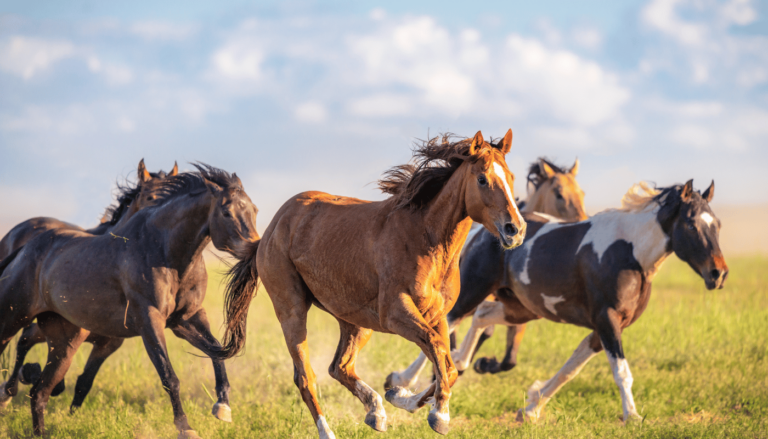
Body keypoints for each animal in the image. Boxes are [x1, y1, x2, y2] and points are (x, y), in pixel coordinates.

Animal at [0, 164, 260, 436]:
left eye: (254, 210)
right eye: (226, 212)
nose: (255, 248)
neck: (163, 251)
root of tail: (24, 249)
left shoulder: (185, 319)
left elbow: (217, 352)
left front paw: (222, 407)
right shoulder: (150, 321)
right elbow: (169, 376)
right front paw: (185, 427)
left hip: (63, 343)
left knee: (39, 392)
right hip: (11, 320)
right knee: (23, 354)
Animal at [207, 131, 524, 439]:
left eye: (510, 177)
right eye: (482, 178)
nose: (516, 229)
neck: (425, 239)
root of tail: (271, 229)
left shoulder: (437, 316)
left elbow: (448, 365)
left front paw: (401, 395)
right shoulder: (396, 314)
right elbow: (438, 352)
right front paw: (439, 416)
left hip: (355, 321)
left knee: (340, 367)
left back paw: (376, 411)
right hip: (292, 310)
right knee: (305, 377)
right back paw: (329, 431)